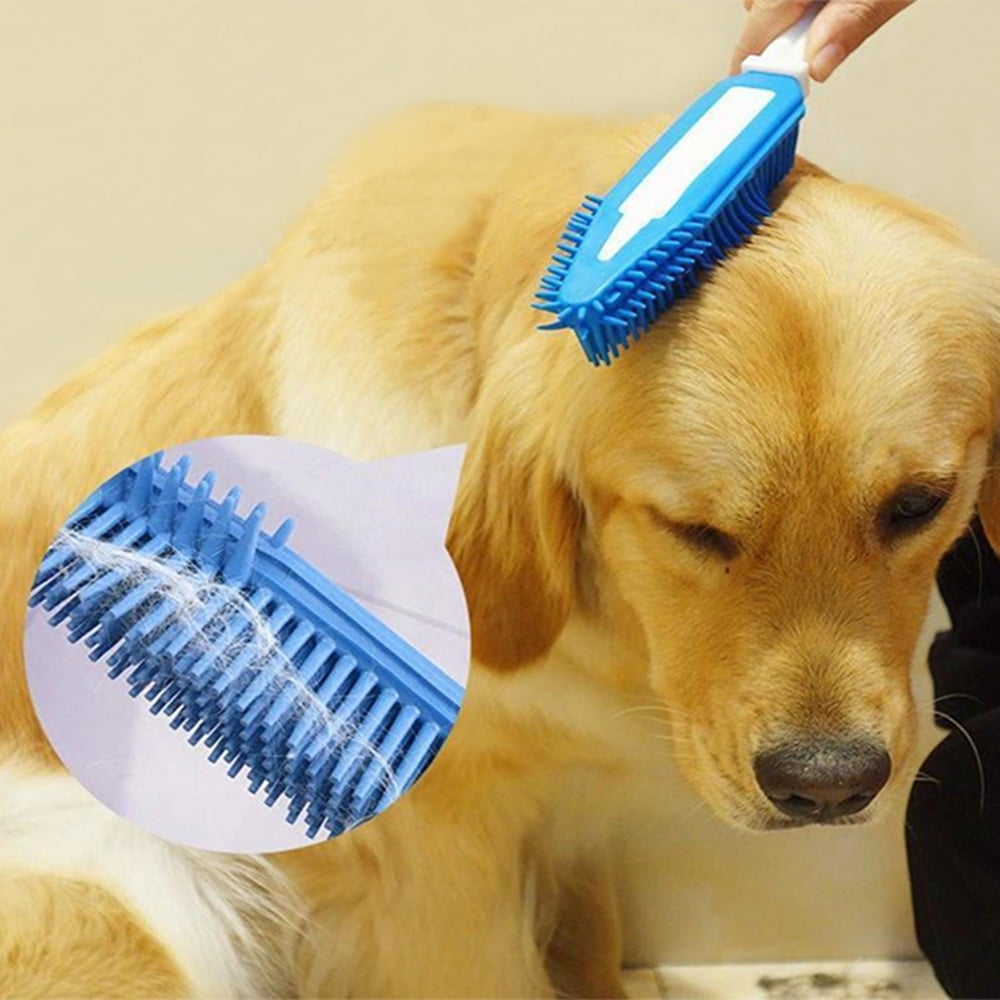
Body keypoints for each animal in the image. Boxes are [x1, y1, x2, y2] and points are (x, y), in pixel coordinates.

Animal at [1, 103, 998, 997]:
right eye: (694, 530)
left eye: (919, 504)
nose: (827, 787)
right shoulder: (435, 867)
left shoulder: (562, 819)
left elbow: (592, 946)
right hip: (122, 887)